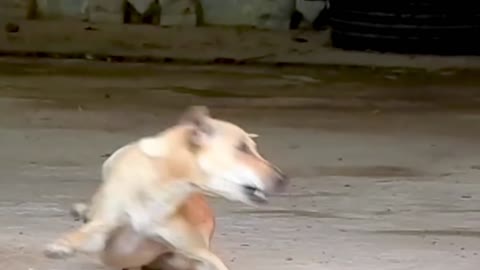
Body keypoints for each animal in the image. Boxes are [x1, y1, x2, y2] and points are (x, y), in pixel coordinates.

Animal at [43, 105, 286, 270]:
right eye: (242, 148)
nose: (284, 179)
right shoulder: (106, 232)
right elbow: (88, 233)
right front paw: (62, 244)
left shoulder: (194, 250)